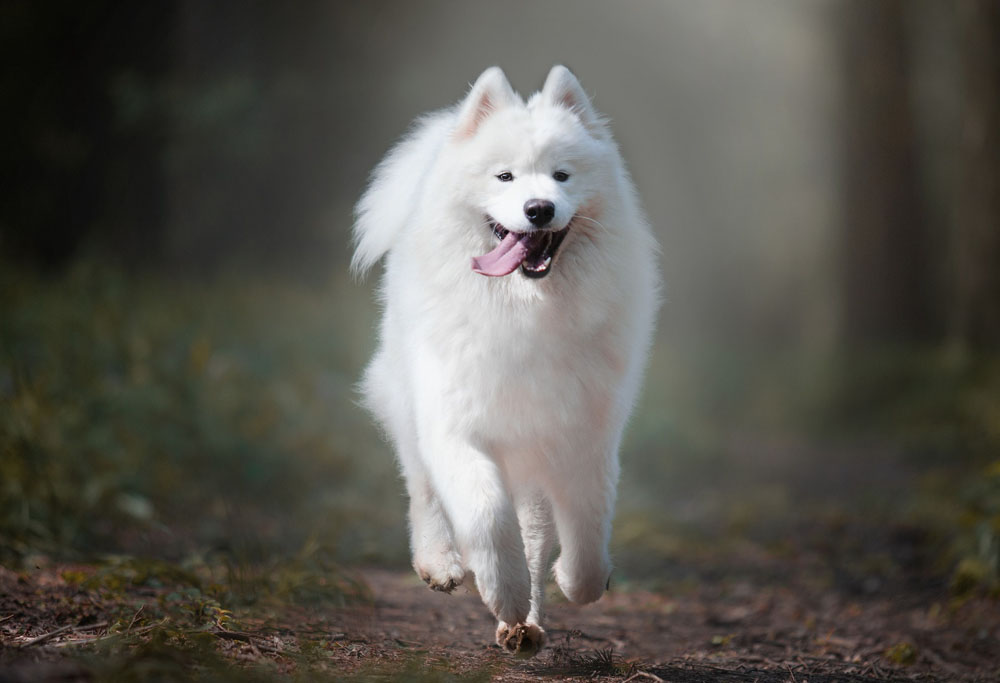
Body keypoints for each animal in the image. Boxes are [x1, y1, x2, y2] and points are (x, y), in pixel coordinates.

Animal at [352, 65, 656, 656]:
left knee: (535, 535)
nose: (539, 209)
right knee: (423, 488)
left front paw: (571, 584)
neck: (526, 311)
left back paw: (527, 625)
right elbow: (486, 516)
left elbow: (586, 529)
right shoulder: (457, 427)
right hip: (409, 405)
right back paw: (442, 564)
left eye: (562, 176)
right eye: (505, 177)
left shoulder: (582, 434)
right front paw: (501, 591)